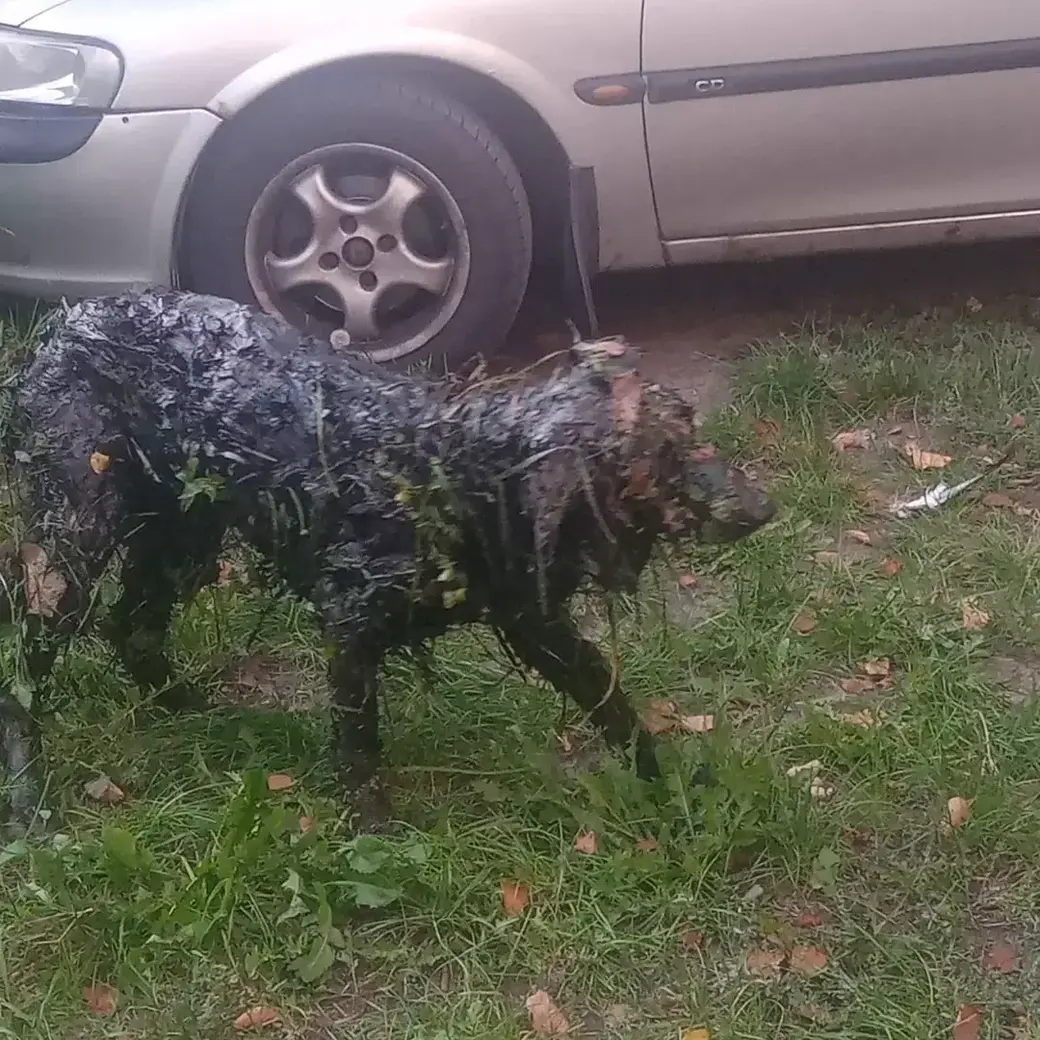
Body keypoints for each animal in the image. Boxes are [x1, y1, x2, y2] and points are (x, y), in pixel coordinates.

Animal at [0, 291, 773, 827]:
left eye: (693, 432)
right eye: (664, 460)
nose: (764, 505)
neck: (451, 472)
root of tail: (63, 325)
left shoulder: (532, 618)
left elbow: (608, 696)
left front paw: (668, 785)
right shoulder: (349, 626)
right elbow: (359, 746)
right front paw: (372, 831)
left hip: (182, 534)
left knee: (132, 627)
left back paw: (196, 709)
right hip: (74, 545)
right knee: (27, 676)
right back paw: (29, 798)